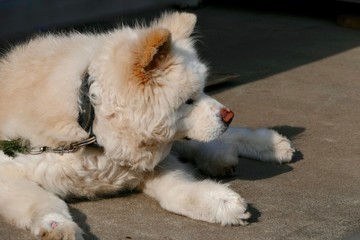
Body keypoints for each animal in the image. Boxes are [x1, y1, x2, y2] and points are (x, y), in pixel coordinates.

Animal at [0, 11, 292, 240]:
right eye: (189, 100)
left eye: (203, 90)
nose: (229, 115)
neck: (91, 122)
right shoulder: (11, 170)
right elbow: (43, 200)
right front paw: (58, 226)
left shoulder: (151, 162)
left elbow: (179, 189)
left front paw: (219, 201)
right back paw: (225, 157)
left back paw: (268, 145)